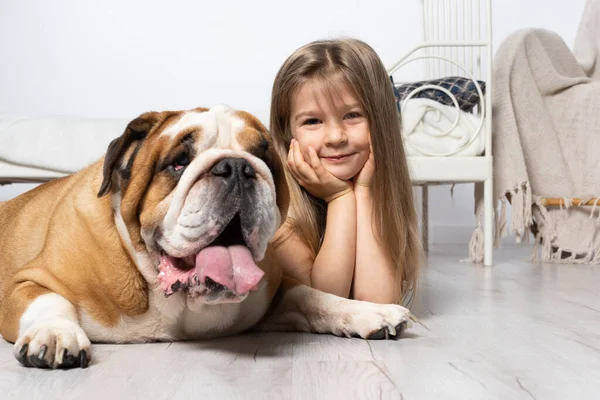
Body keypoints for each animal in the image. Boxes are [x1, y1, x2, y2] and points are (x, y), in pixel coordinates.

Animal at [0, 105, 412, 368]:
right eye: (178, 162)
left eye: (264, 157)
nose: (238, 167)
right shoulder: (27, 282)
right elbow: (50, 302)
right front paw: (55, 335)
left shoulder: (276, 292)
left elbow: (315, 297)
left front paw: (370, 311)